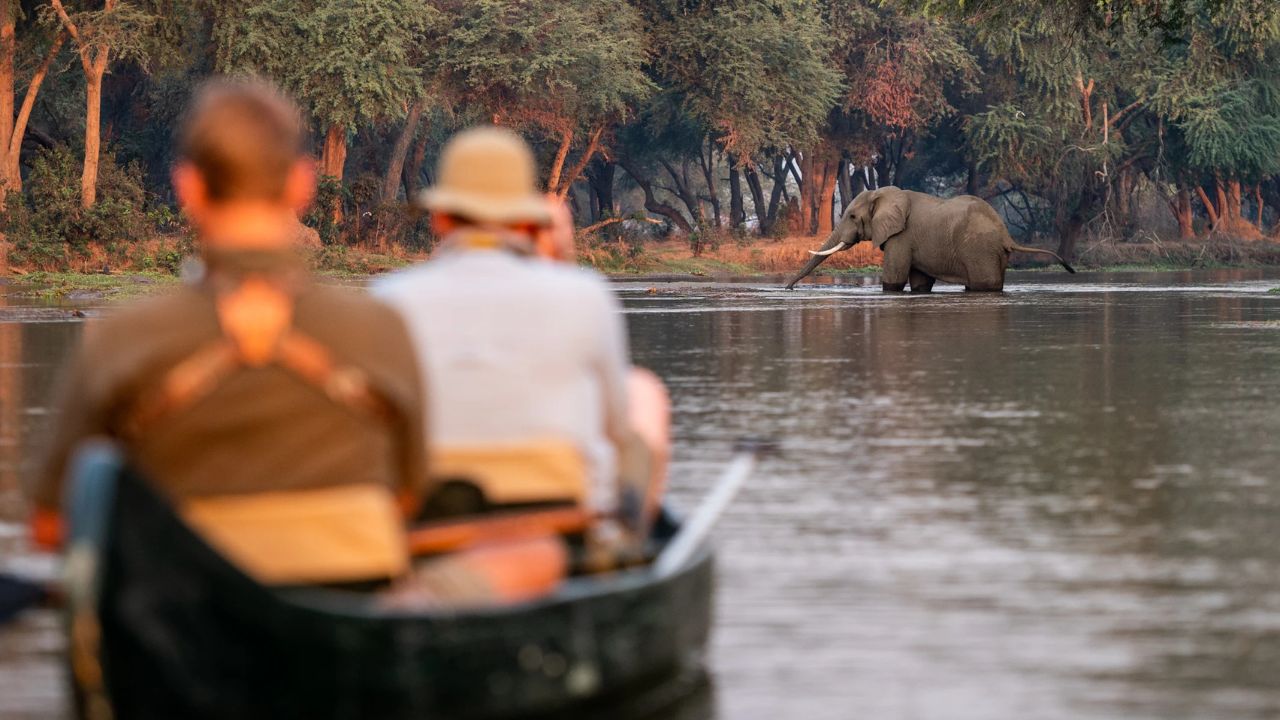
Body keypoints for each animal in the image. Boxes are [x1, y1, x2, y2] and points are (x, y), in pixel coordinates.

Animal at [784, 187, 1075, 292]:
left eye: (853, 216)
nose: (788, 289)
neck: (885, 193)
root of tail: (1007, 235)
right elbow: (920, 283)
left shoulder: (901, 237)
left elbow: (893, 280)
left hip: (980, 251)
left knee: (983, 285)